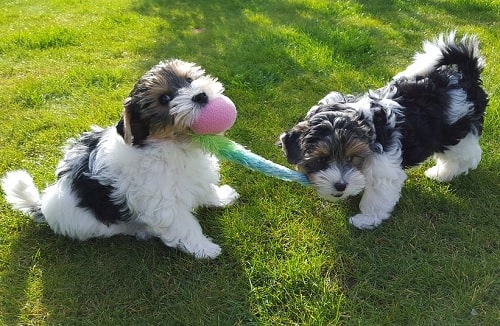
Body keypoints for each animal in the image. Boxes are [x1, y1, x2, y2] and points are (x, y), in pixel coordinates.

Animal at [1, 58, 240, 258]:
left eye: (189, 80)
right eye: (164, 98)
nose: (201, 95)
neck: (173, 143)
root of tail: (43, 205)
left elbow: (205, 189)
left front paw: (221, 197)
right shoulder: (162, 203)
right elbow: (183, 225)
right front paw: (205, 248)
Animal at [278, 31, 488, 229]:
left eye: (351, 158)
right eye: (322, 159)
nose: (340, 185)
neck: (363, 124)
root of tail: (465, 75)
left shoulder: (383, 167)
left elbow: (377, 196)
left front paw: (366, 220)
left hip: (455, 132)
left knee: (465, 156)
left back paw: (442, 174)